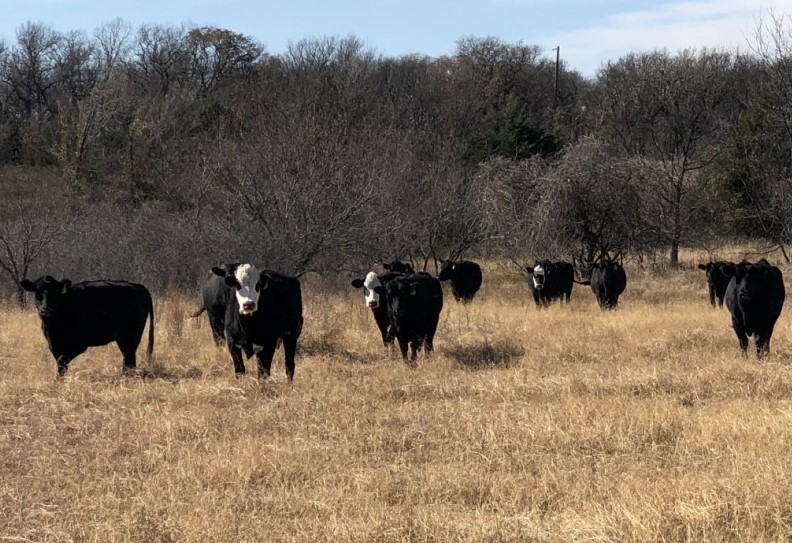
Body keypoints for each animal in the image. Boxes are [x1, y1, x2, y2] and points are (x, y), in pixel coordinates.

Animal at [20, 276, 154, 377]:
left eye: (55, 293)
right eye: (37, 293)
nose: (46, 309)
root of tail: (138, 286)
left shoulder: (80, 343)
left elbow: (61, 361)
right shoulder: (53, 344)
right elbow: (59, 361)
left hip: (133, 333)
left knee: (129, 356)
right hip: (122, 337)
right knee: (128, 358)